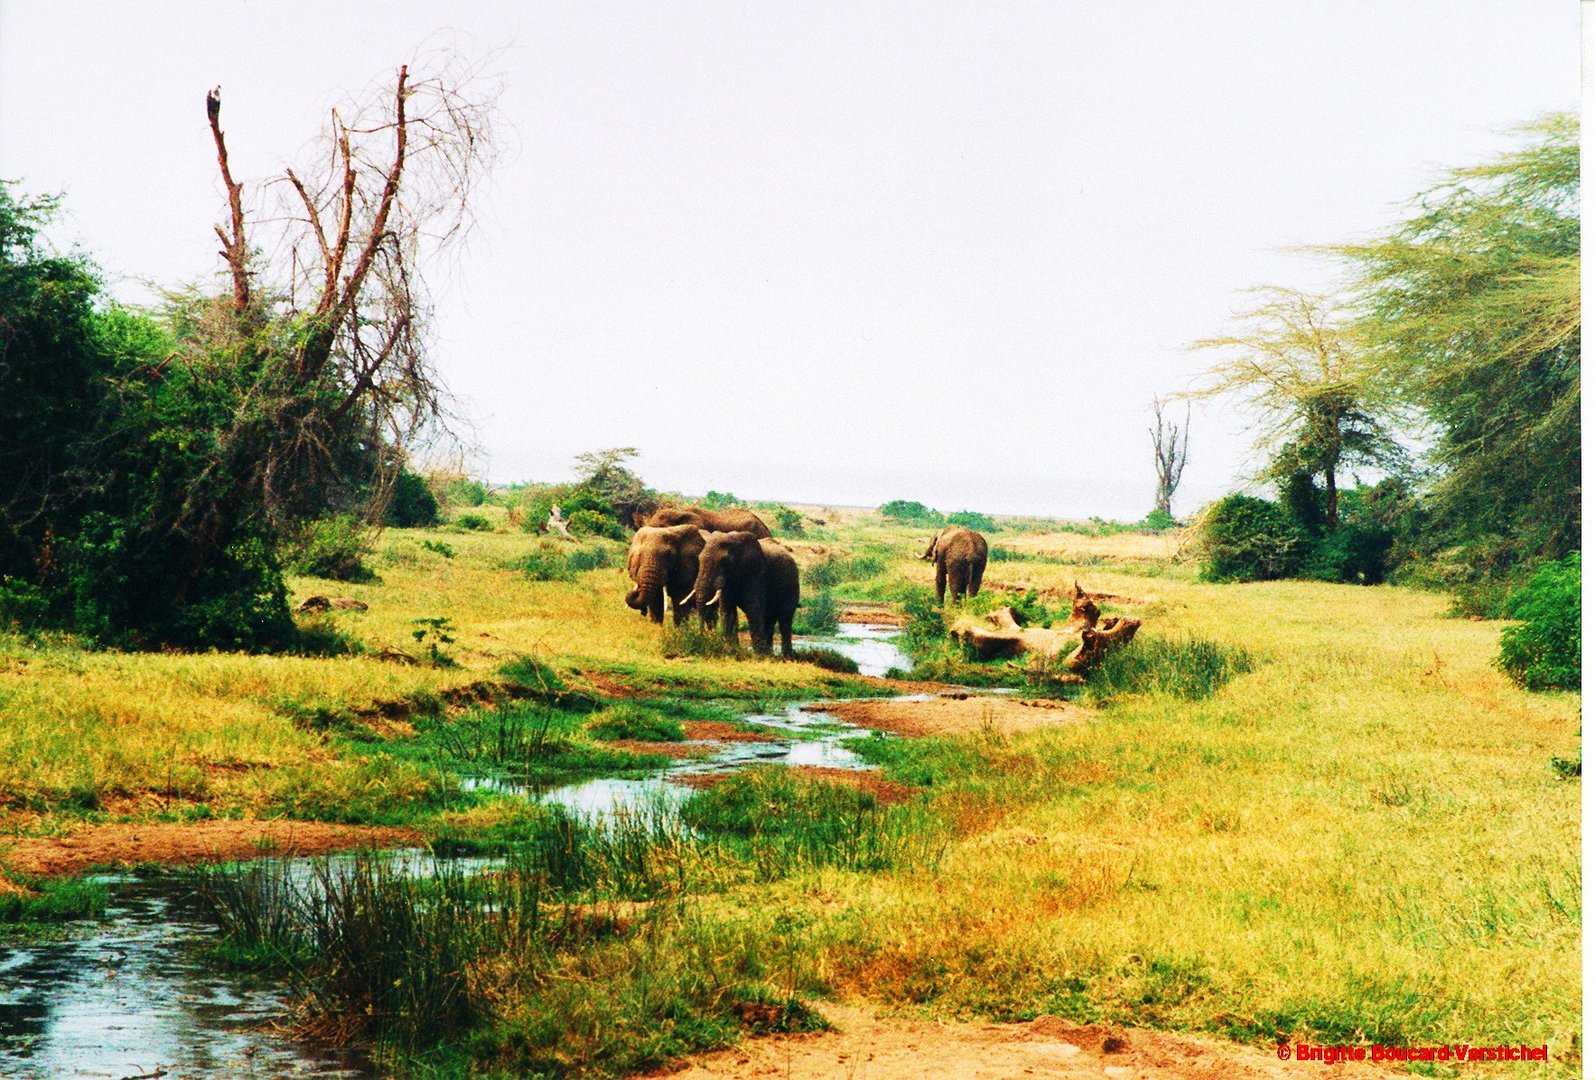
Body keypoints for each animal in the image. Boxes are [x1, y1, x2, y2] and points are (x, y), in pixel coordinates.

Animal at [679, 529, 797, 657]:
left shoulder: (756, 571)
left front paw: (759, 655)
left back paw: (786, 656)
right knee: (770, 618)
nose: (703, 636)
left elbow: (754, 608)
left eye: (724, 561)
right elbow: (727, 608)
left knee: (785, 618)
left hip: (792, 585)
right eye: (699, 559)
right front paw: (731, 649)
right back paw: (770, 653)